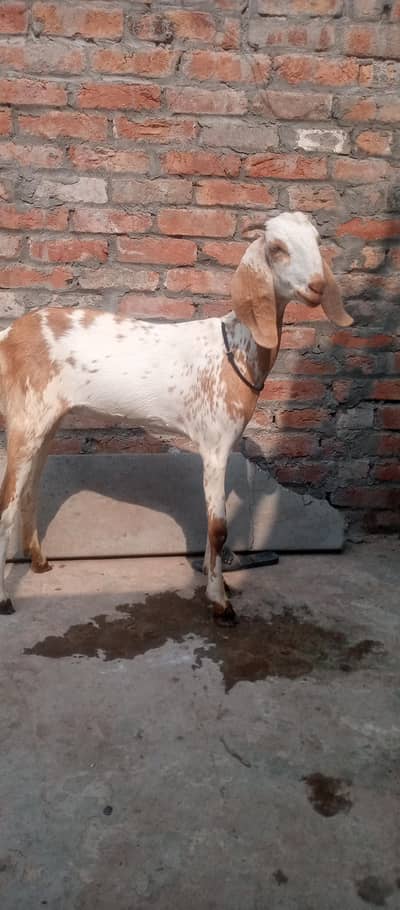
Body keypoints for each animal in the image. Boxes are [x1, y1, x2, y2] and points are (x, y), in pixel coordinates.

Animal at [0, 211, 353, 624]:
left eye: (317, 241)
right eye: (277, 247)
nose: (316, 286)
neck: (234, 349)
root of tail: (9, 334)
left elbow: (211, 526)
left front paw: (217, 579)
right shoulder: (215, 445)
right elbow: (218, 528)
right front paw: (220, 602)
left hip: (48, 420)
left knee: (30, 490)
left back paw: (40, 562)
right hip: (25, 419)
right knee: (7, 503)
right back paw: (5, 599)